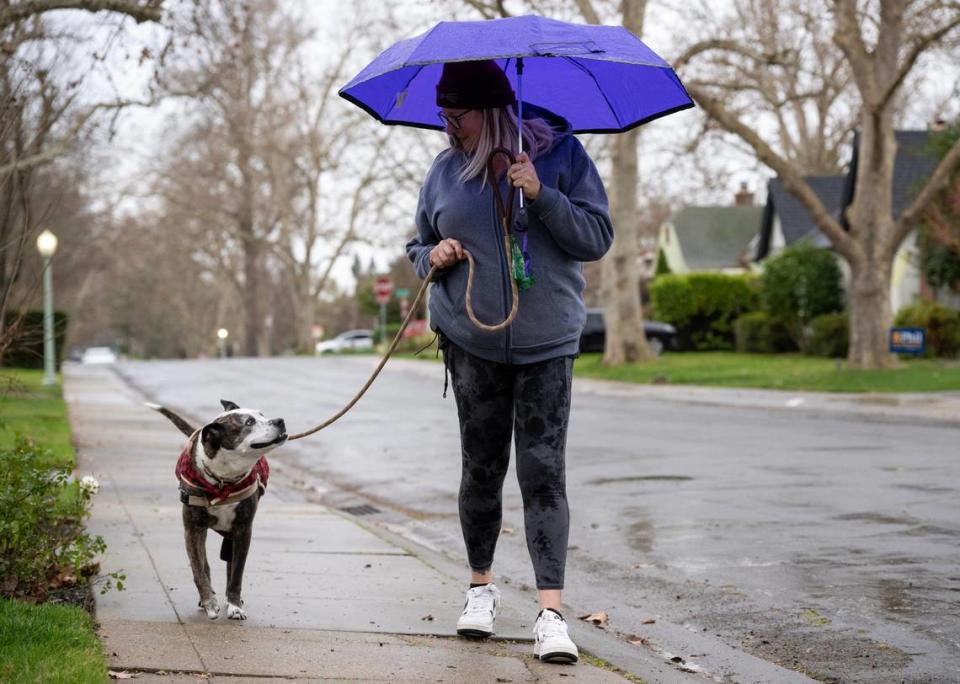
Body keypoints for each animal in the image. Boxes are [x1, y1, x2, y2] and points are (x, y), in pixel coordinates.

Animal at [146, 400, 286, 620]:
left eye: (262, 414)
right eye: (249, 422)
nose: (280, 421)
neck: (223, 479)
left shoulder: (243, 530)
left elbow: (237, 573)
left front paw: (234, 606)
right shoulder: (193, 530)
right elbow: (198, 569)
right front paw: (209, 601)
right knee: (205, 565)